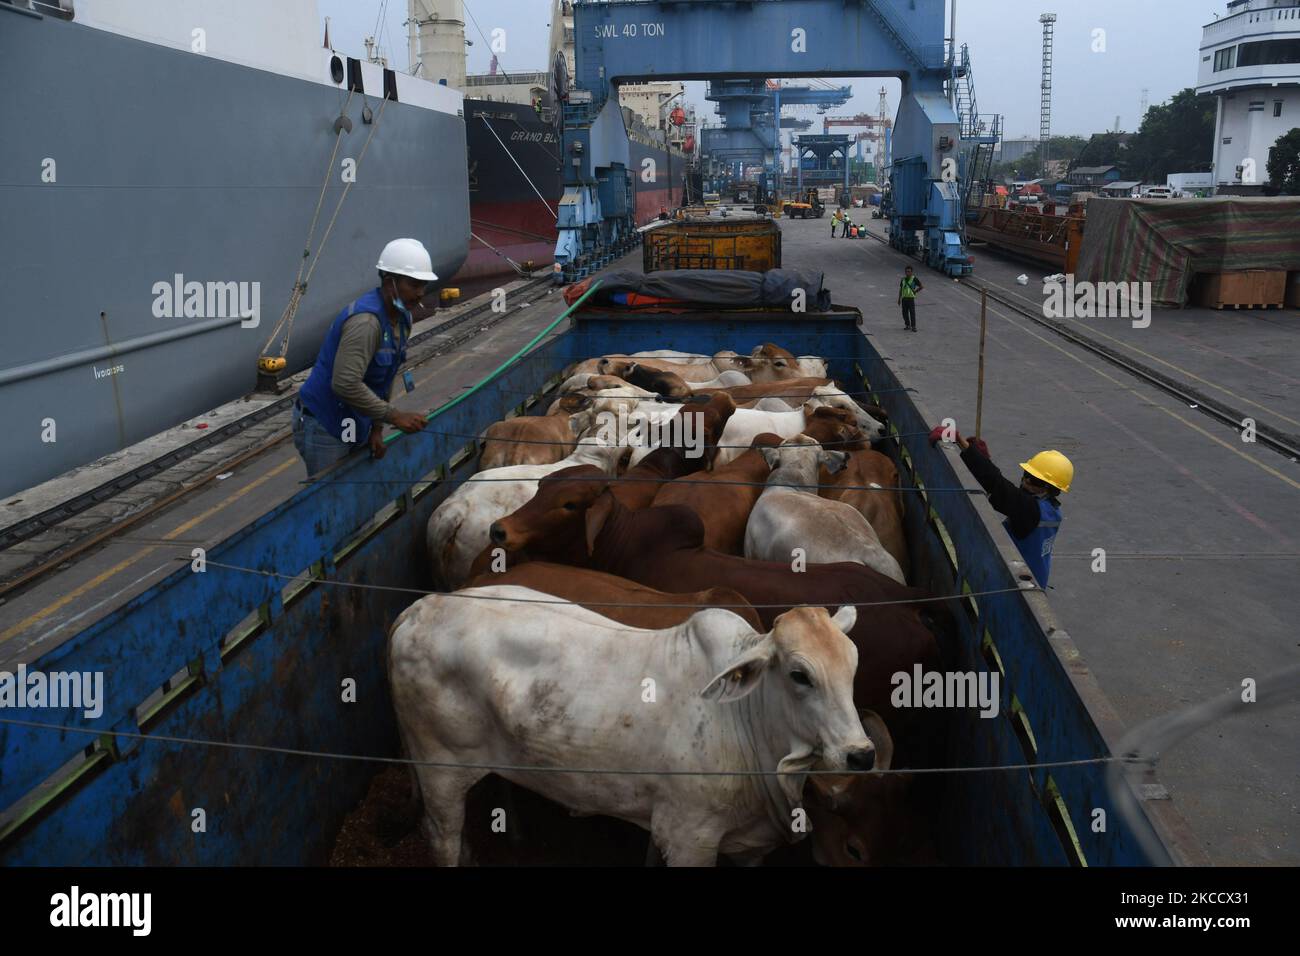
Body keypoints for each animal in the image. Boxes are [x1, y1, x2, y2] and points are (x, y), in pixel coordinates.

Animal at [384, 590, 873, 868]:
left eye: (853, 664)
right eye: (799, 675)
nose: (861, 754)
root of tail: (418, 608)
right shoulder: (690, 837)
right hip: (439, 770)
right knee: (442, 837)